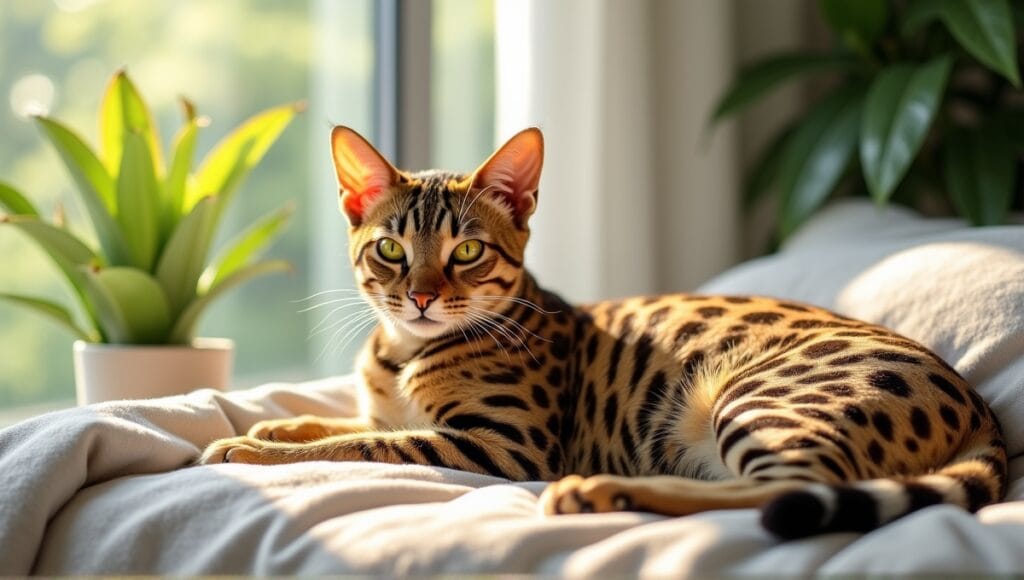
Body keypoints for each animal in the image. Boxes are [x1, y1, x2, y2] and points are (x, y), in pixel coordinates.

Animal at [201, 127, 1007, 541]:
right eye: (392, 250)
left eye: (468, 252)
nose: (422, 298)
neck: (402, 353)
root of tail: (977, 402)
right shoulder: (390, 405)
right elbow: (338, 421)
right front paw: (269, 427)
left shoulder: (502, 446)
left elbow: (368, 443)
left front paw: (251, 449)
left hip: (761, 400)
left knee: (791, 492)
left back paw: (600, 493)